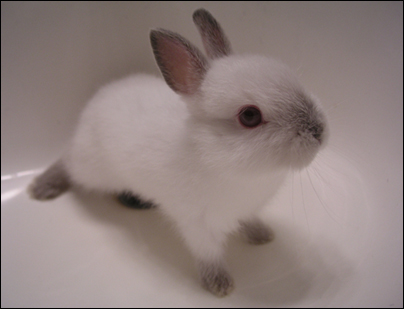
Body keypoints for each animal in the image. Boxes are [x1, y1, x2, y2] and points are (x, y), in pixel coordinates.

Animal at [30, 8, 330, 294]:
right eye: (249, 116)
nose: (319, 131)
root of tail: (92, 105)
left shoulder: (246, 209)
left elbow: (249, 220)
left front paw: (262, 235)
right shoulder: (197, 225)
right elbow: (208, 254)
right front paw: (219, 284)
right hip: (91, 168)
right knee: (66, 164)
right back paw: (41, 187)